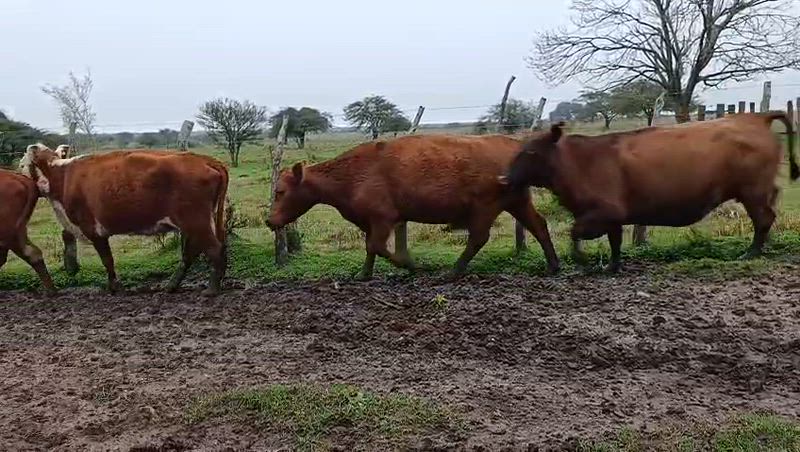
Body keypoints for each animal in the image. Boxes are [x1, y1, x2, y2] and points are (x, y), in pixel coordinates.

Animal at [19, 144, 229, 296]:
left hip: (196, 221)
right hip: (194, 223)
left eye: (22, 164)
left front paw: (115, 287)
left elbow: (107, 260)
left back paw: (212, 289)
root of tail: (203, 159)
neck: (63, 177)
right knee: (192, 252)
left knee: (214, 249)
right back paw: (172, 285)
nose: (18, 174)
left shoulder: (92, 228)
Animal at [266, 134, 560, 279]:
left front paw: (413, 266)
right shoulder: (371, 221)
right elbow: (370, 248)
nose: (270, 221)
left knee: (478, 237)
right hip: (517, 201)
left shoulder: (383, 218)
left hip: (486, 206)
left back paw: (452, 272)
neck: (353, 175)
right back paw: (553, 266)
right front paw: (364, 274)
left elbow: (378, 246)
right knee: (538, 225)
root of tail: (512, 144)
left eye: (280, 191)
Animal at [502, 112, 798, 272]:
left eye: (531, 152)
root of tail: (755, 117)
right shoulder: (612, 218)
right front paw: (612, 267)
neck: (576, 163)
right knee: (768, 216)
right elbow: (615, 241)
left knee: (764, 219)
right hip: (758, 191)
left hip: (753, 192)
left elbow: (575, 232)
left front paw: (583, 259)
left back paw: (751, 253)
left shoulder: (603, 212)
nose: (504, 178)